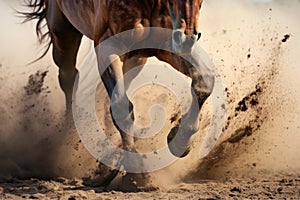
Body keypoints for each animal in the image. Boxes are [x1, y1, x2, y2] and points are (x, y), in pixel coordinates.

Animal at [24, 0, 216, 188]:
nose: (187, 38)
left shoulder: (165, 44)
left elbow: (205, 81)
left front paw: (179, 140)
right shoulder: (108, 46)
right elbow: (121, 105)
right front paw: (137, 175)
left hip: (136, 59)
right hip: (62, 32)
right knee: (68, 76)